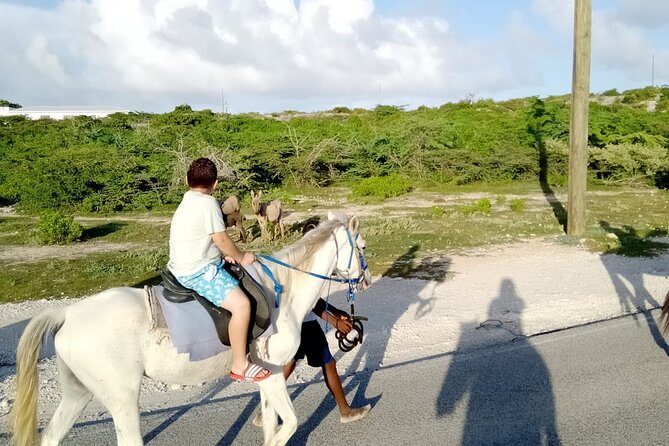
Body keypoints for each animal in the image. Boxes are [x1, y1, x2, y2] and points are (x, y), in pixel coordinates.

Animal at [10, 212, 370, 446]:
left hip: (78, 393)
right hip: (122, 399)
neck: (283, 290)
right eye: (362, 247)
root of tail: (68, 313)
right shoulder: (273, 374)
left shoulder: (270, 376)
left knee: (52, 437)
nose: (365, 279)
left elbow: (271, 424)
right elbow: (288, 424)